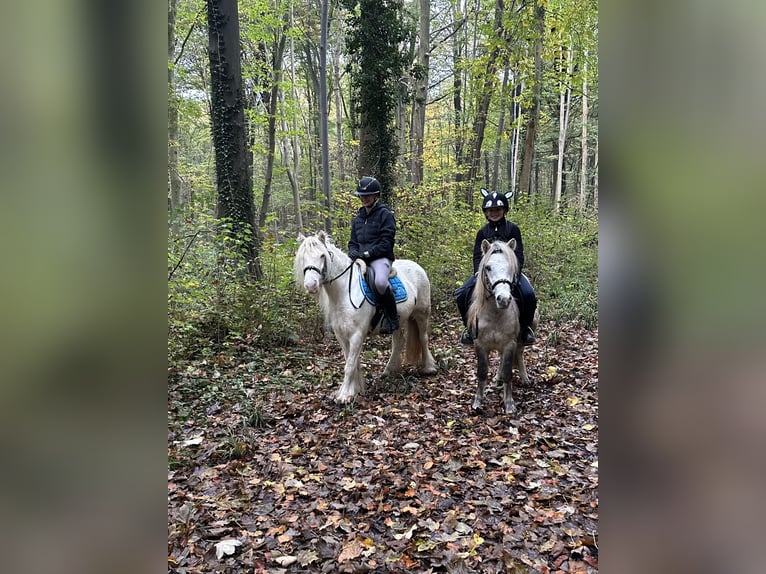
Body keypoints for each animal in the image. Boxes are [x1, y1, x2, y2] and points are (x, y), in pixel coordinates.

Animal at [294, 232, 438, 402]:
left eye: (322, 255)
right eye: (303, 257)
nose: (310, 285)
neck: (344, 292)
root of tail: (417, 267)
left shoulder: (357, 334)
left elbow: (349, 365)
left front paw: (344, 396)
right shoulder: (341, 335)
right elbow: (352, 362)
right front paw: (354, 390)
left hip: (422, 314)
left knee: (423, 338)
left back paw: (429, 368)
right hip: (399, 319)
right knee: (398, 341)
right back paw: (390, 370)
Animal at [464, 238, 536, 414]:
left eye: (511, 267)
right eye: (488, 267)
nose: (503, 299)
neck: (495, 314)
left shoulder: (510, 343)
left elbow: (508, 372)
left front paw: (509, 404)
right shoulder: (480, 344)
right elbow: (482, 372)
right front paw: (478, 402)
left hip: (521, 339)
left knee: (519, 354)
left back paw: (524, 378)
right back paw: (497, 379)